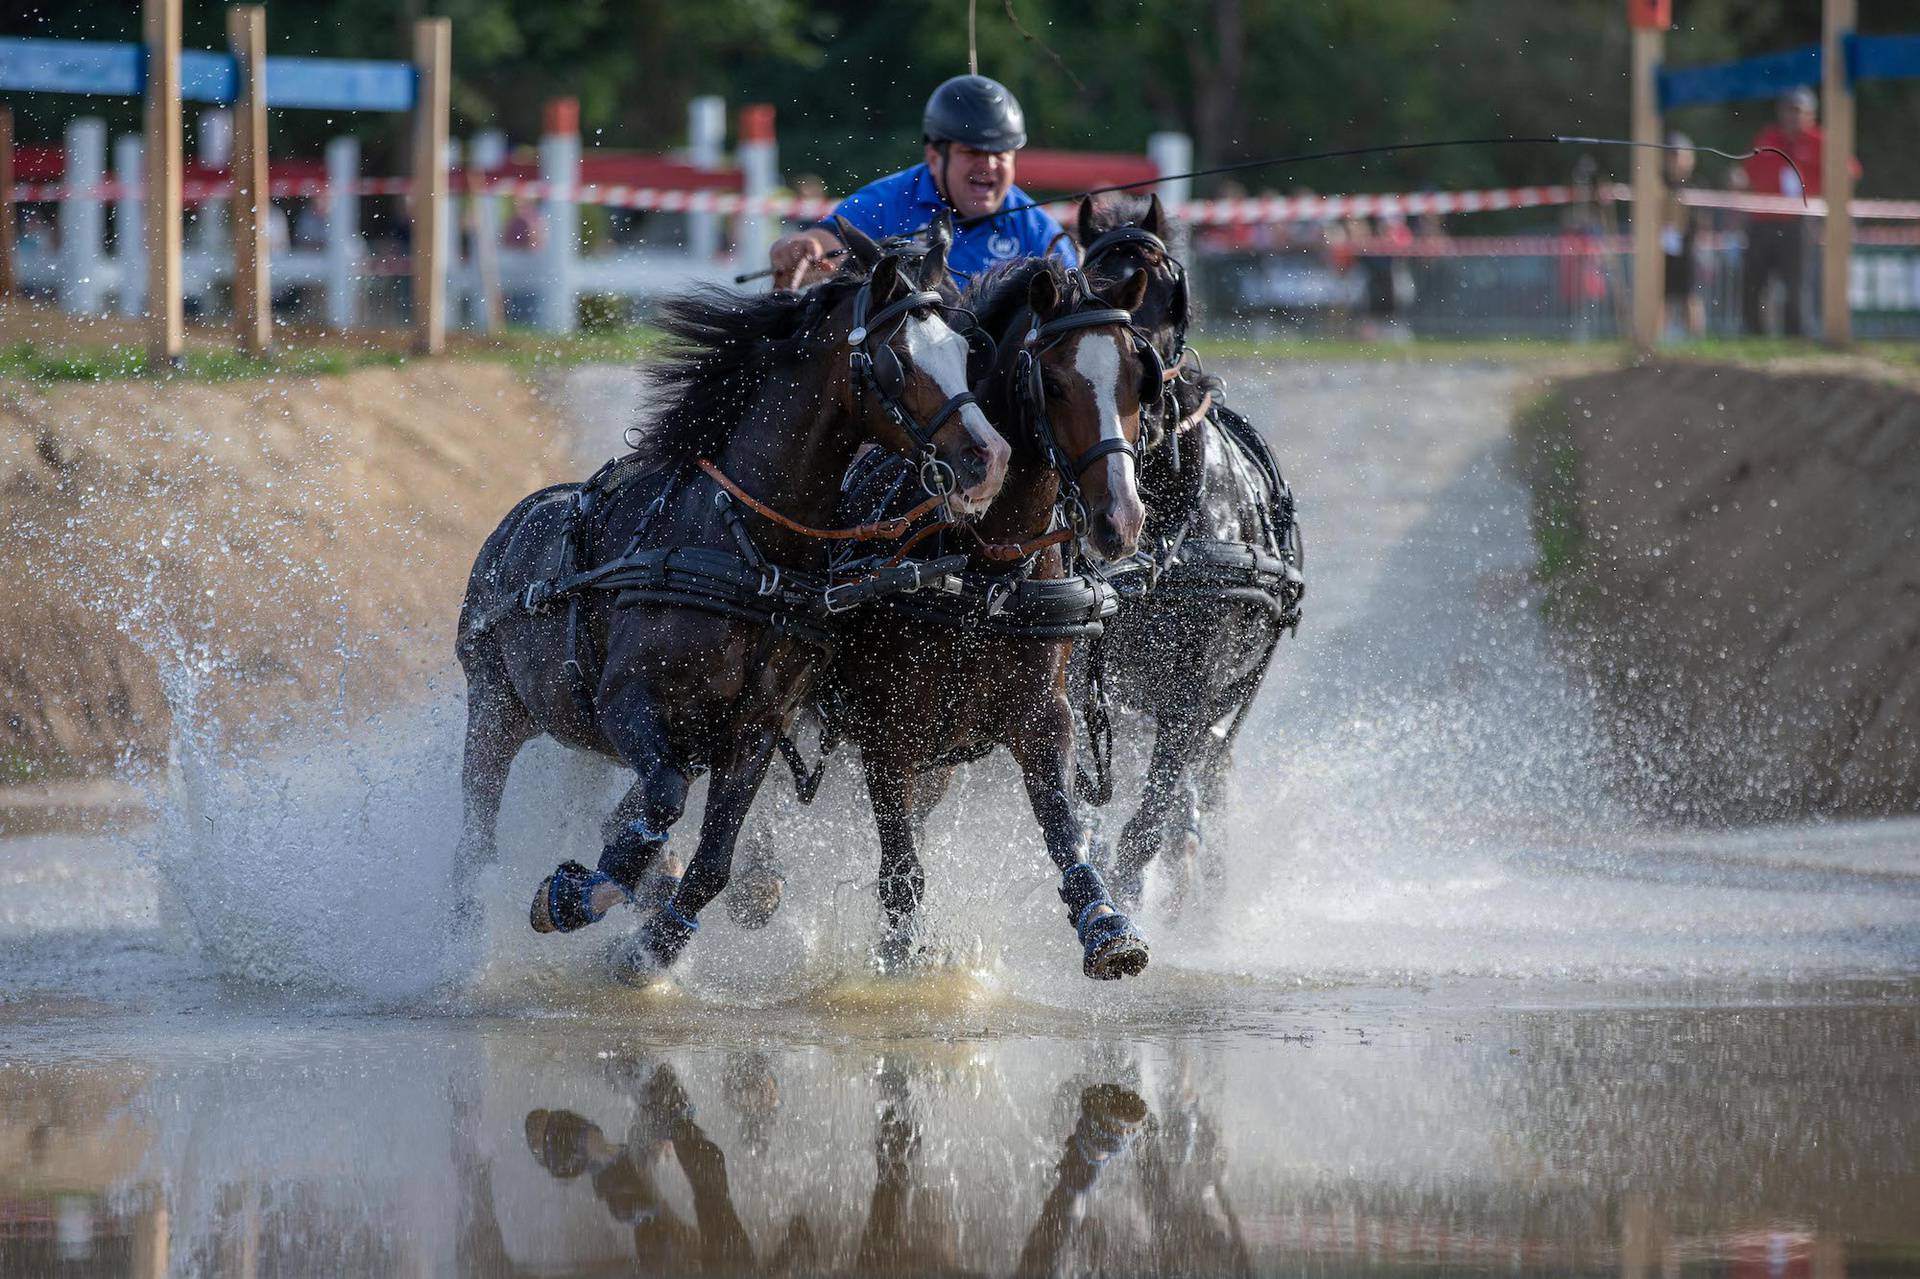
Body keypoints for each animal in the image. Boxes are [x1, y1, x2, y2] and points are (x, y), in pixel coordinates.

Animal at [451, 221, 1013, 975]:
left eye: (964, 351)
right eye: (900, 361)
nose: (991, 459)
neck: (743, 544)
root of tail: (510, 527)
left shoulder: (755, 730)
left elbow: (713, 859)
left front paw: (652, 946)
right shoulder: (630, 701)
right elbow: (659, 806)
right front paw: (575, 896)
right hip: (494, 713)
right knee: (475, 844)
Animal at [1075, 193, 1313, 902]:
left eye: (1170, 296)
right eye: (1085, 285)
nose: (1134, 412)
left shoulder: (1193, 693)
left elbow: (1148, 819)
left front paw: (1129, 889)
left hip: (1237, 691)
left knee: (1206, 775)